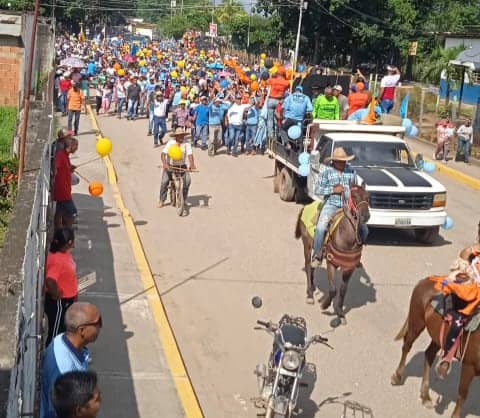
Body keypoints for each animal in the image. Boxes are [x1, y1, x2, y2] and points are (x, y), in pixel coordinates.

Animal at [294, 185, 370, 326]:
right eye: (354, 196)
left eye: (368, 196)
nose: (365, 215)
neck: (346, 237)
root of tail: (306, 206)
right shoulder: (332, 263)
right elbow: (333, 289)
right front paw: (325, 305)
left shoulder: (349, 268)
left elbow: (343, 290)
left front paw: (340, 313)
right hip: (306, 245)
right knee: (308, 266)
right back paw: (310, 295)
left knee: (313, 265)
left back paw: (312, 287)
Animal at [392, 278, 478, 418]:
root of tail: (425, 280)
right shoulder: (469, 367)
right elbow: (462, 396)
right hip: (417, 322)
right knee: (407, 346)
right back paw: (397, 376)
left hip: (437, 337)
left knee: (429, 354)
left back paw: (425, 395)